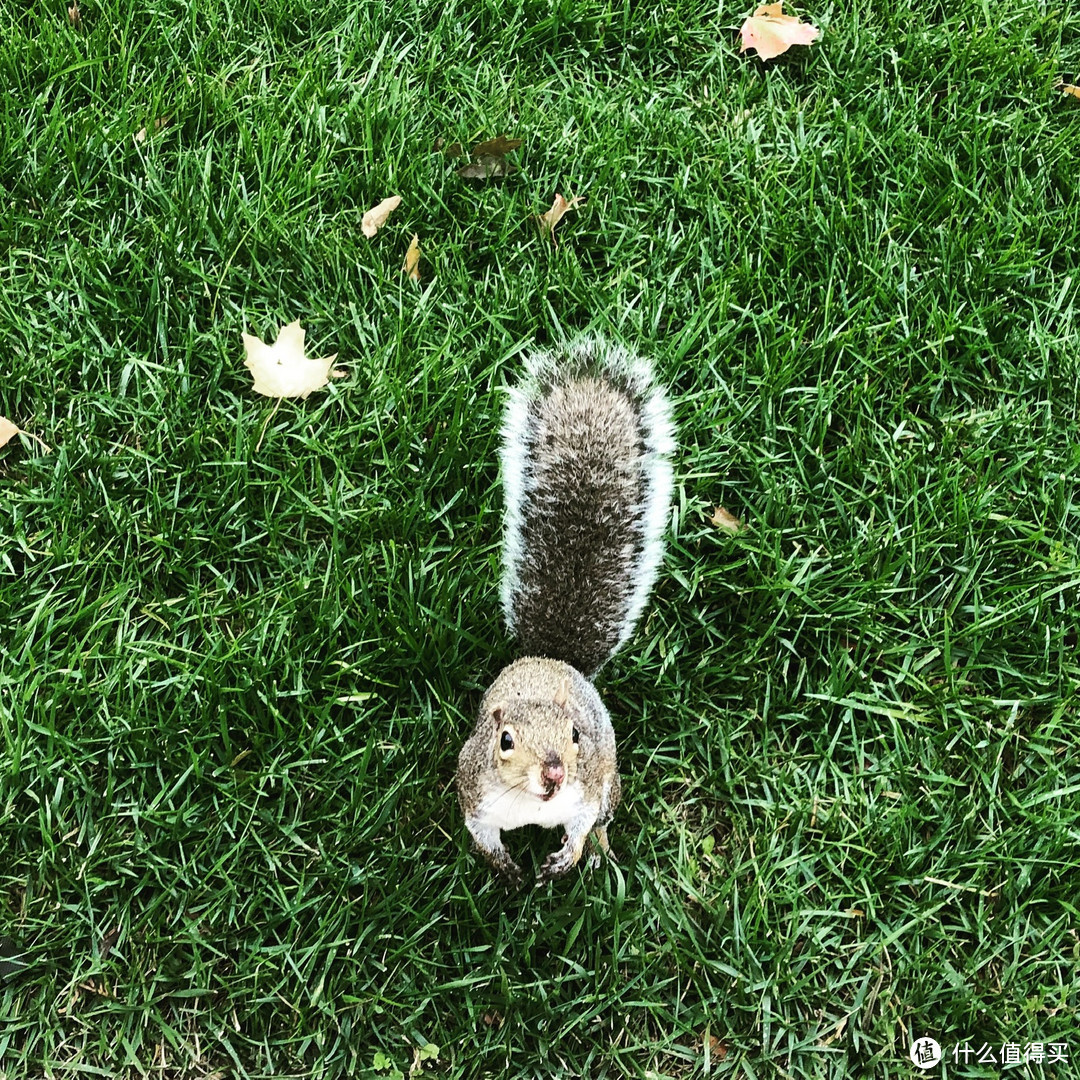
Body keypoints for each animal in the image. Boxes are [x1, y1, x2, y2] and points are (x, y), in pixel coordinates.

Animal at [455, 339, 673, 885]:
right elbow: (482, 836)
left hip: (609, 780)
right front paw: (506, 869)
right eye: (505, 740)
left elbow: (581, 821)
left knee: (605, 814)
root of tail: (555, 660)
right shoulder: (475, 795)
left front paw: (568, 857)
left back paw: (597, 846)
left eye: (576, 734)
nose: (554, 772)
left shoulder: (587, 788)